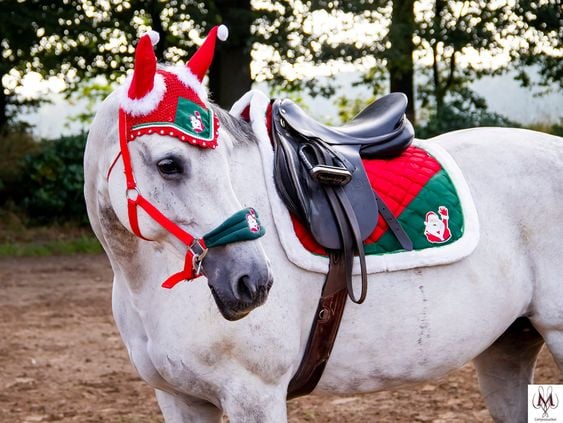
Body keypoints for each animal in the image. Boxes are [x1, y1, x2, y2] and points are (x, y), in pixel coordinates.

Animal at [83, 29, 563, 420]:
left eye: (222, 160)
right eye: (169, 164)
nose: (252, 280)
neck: (147, 282)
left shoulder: (255, 395)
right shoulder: (180, 400)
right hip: (508, 346)